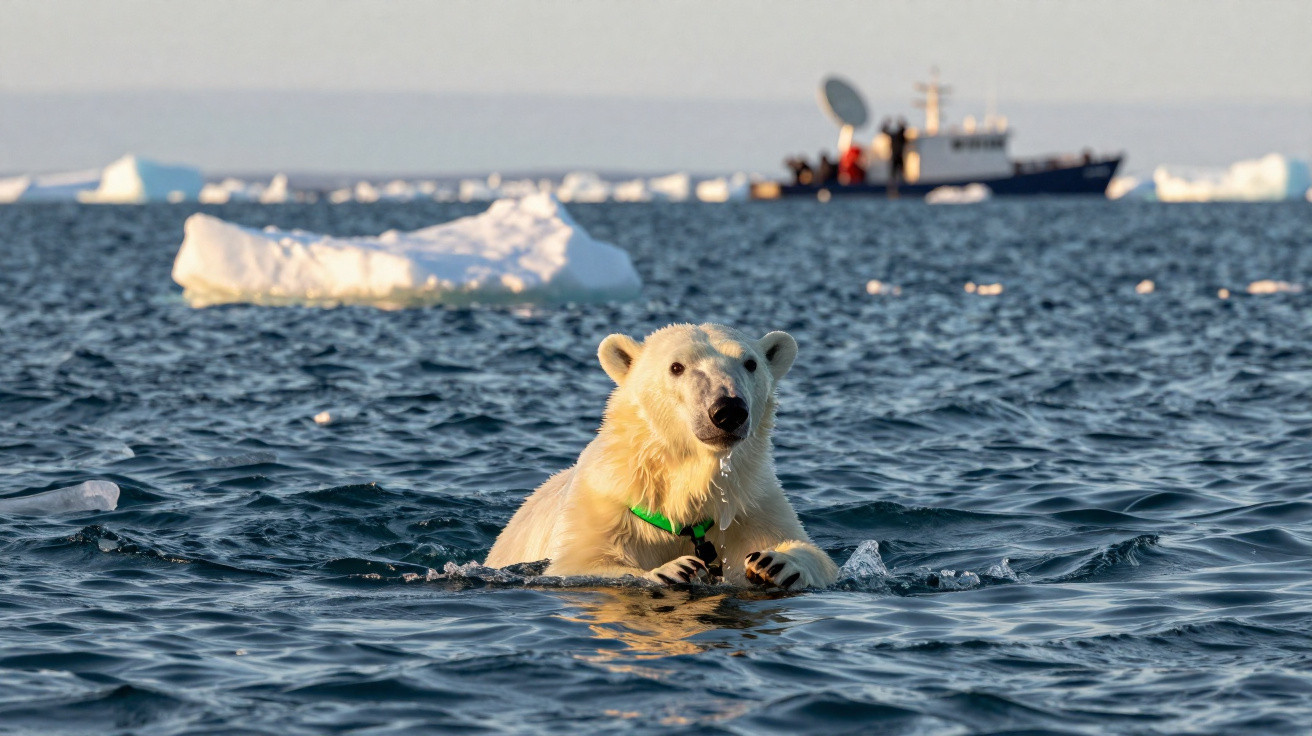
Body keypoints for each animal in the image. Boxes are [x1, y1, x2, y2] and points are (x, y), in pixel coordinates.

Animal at [485, 323, 838, 589]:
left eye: (750, 363)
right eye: (676, 367)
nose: (728, 410)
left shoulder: (750, 504)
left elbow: (816, 556)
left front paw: (775, 562)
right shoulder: (602, 505)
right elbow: (579, 565)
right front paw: (674, 569)